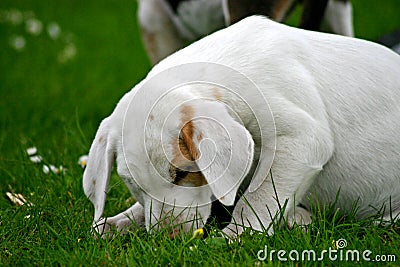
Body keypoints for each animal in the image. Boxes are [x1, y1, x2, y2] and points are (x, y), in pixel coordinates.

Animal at [83, 16, 400, 239]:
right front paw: (116, 223)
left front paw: (234, 236)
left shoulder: (303, 139)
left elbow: (260, 196)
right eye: (133, 184)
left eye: (183, 173)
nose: (167, 238)